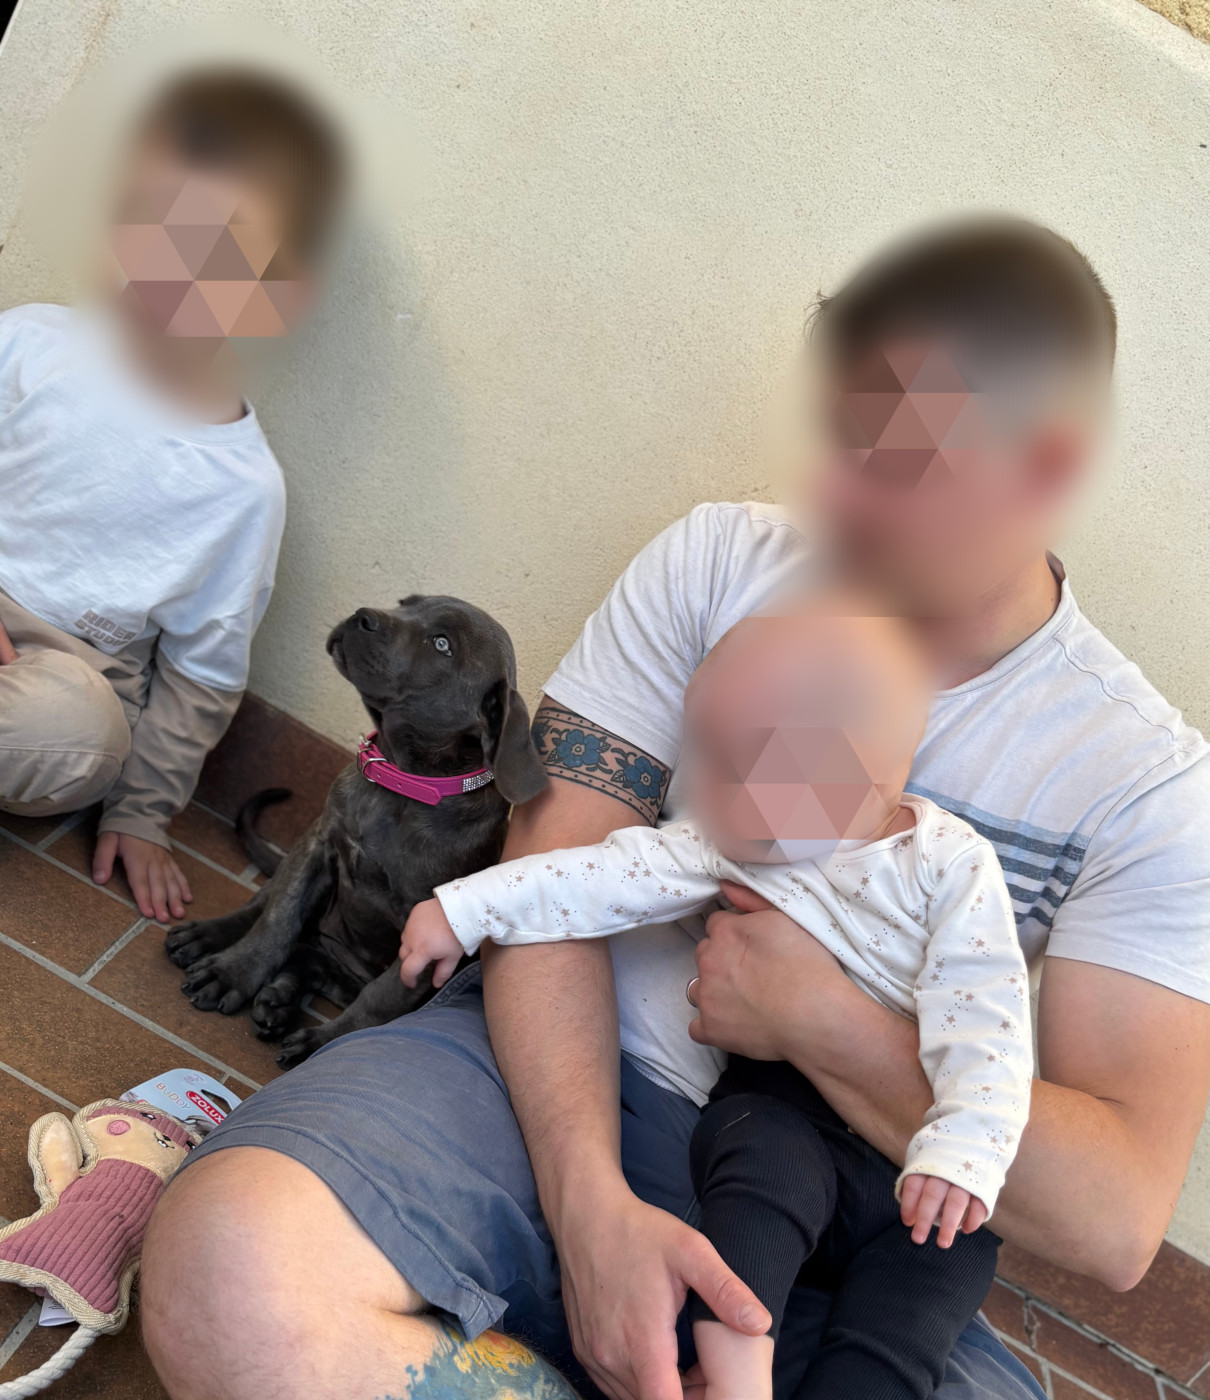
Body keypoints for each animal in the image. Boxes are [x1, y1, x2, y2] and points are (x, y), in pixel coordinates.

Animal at [165, 595, 547, 1067]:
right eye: (406, 603)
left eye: (442, 644)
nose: (362, 616)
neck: (401, 784)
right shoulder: (320, 847)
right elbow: (278, 918)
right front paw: (234, 971)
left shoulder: (430, 929)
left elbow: (381, 999)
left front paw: (324, 1042)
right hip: (304, 852)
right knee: (268, 905)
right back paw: (212, 939)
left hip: (344, 960)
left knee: (315, 961)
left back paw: (280, 1004)